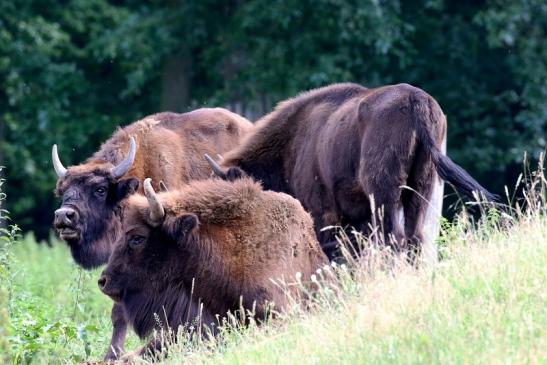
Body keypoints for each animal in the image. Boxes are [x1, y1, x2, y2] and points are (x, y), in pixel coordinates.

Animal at [206, 82, 496, 258]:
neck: (293, 142)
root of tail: (416, 101)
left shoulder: (323, 212)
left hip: (384, 193)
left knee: (394, 239)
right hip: (420, 189)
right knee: (414, 239)